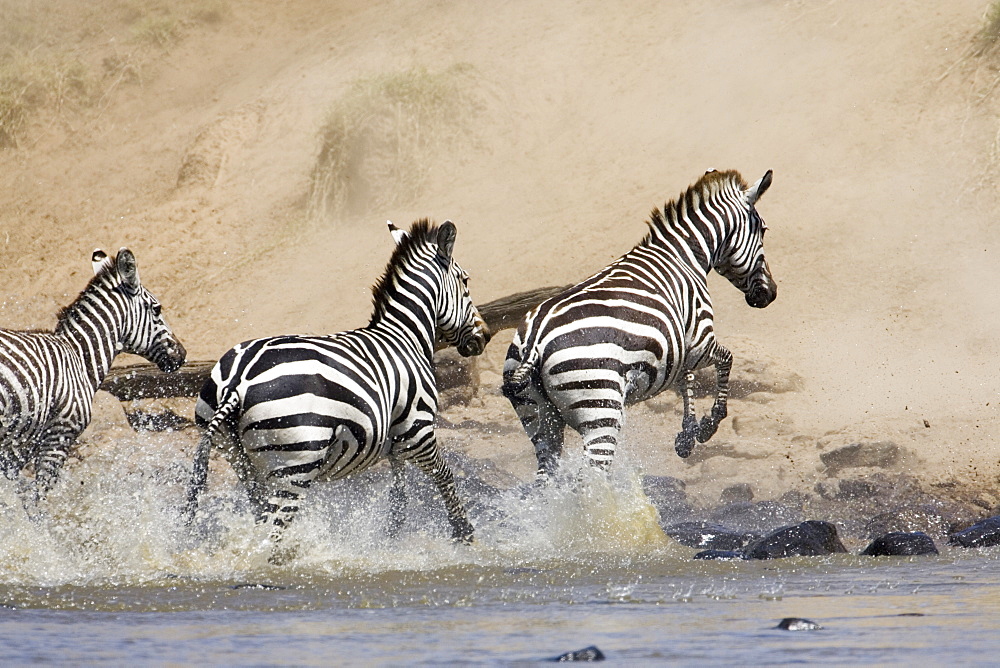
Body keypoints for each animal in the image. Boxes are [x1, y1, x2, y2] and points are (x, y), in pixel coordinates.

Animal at [0, 249, 187, 500]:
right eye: (157, 309)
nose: (182, 354)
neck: (79, 356)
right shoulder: (58, 436)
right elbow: (37, 497)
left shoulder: (16, 449)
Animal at [186, 219, 490, 544]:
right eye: (466, 281)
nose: (483, 337)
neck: (404, 336)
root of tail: (237, 381)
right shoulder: (417, 429)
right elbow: (444, 475)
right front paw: (464, 533)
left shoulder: (395, 437)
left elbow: (399, 490)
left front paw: (392, 533)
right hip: (296, 462)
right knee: (272, 534)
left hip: (241, 461)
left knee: (260, 516)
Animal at [504, 170, 776, 478]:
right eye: (764, 230)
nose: (770, 294)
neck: (685, 256)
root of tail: (534, 342)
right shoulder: (699, 339)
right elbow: (726, 360)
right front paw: (709, 426)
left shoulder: (678, 348)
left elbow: (686, 380)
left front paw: (687, 436)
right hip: (600, 407)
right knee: (594, 476)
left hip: (539, 421)